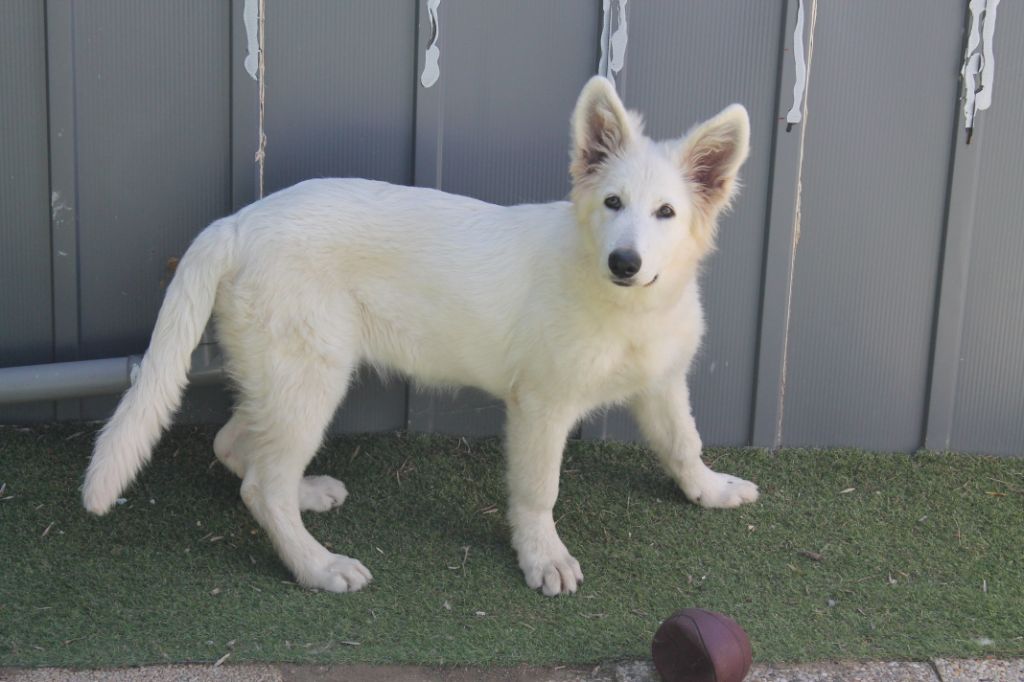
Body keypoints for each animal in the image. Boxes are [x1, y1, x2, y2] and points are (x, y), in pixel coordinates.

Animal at [82, 76, 758, 596]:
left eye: (666, 213)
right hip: (310, 378)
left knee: (235, 447)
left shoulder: (661, 384)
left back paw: (307, 495)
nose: (625, 262)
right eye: (613, 203)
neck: (622, 303)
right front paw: (543, 557)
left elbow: (684, 443)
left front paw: (709, 490)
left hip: (281, 377)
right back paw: (317, 566)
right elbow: (539, 491)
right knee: (260, 487)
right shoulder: (541, 407)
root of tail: (237, 221)